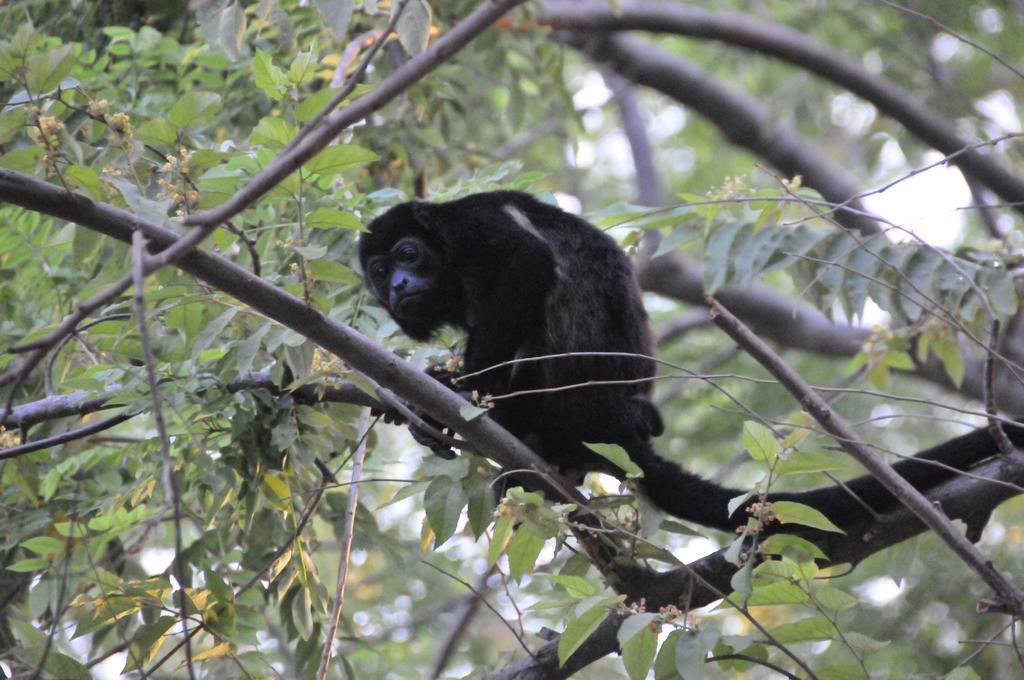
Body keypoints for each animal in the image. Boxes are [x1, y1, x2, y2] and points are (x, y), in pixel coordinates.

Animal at [358, 189, 1015, 532]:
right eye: (379, 271)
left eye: (408, 255)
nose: (397, 287)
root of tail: (616, 426)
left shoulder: (472, 228)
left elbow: (526, 261)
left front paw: (457, 394)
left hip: (569, 403)